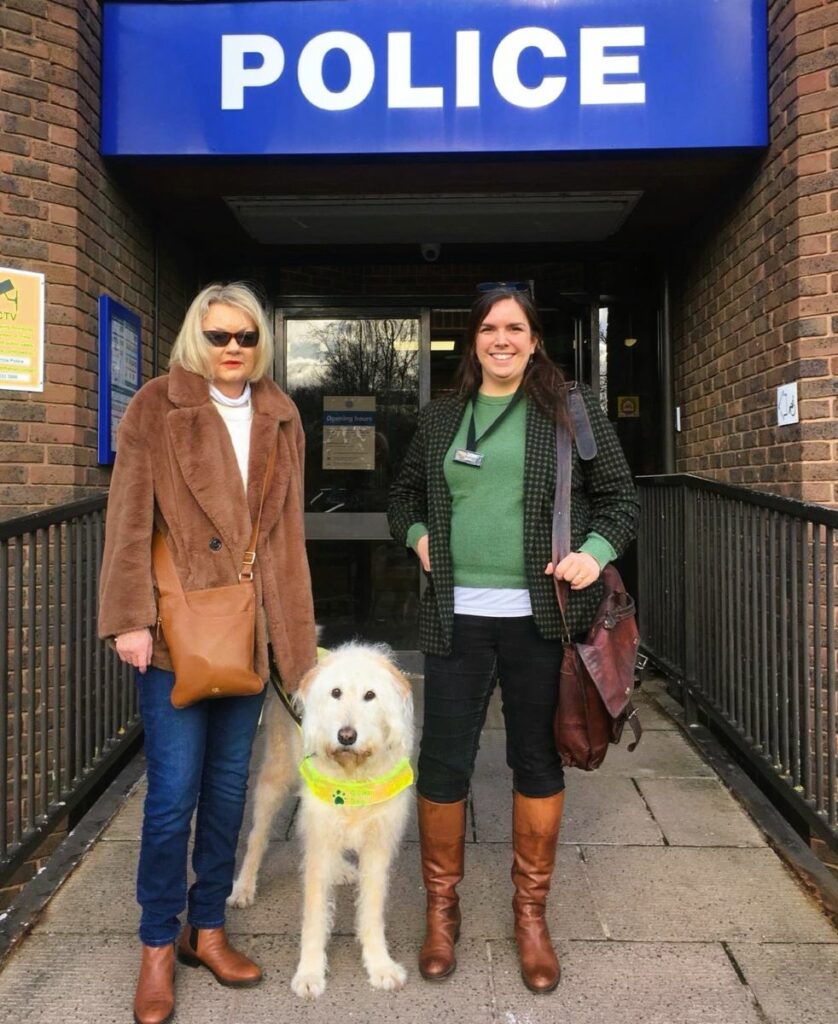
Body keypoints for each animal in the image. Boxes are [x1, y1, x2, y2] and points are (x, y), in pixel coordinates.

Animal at [228, 643, 413, 995]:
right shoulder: (318, 844)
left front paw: (379, 965)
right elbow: (315, 916)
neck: (353, 775)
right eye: (336, 692)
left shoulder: (377, 847)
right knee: (257, 837)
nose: (346, 736)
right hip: (276, 778)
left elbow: (372, 912)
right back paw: (243, 887)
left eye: (370, 695)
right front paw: (310, 973)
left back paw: (340, 869)